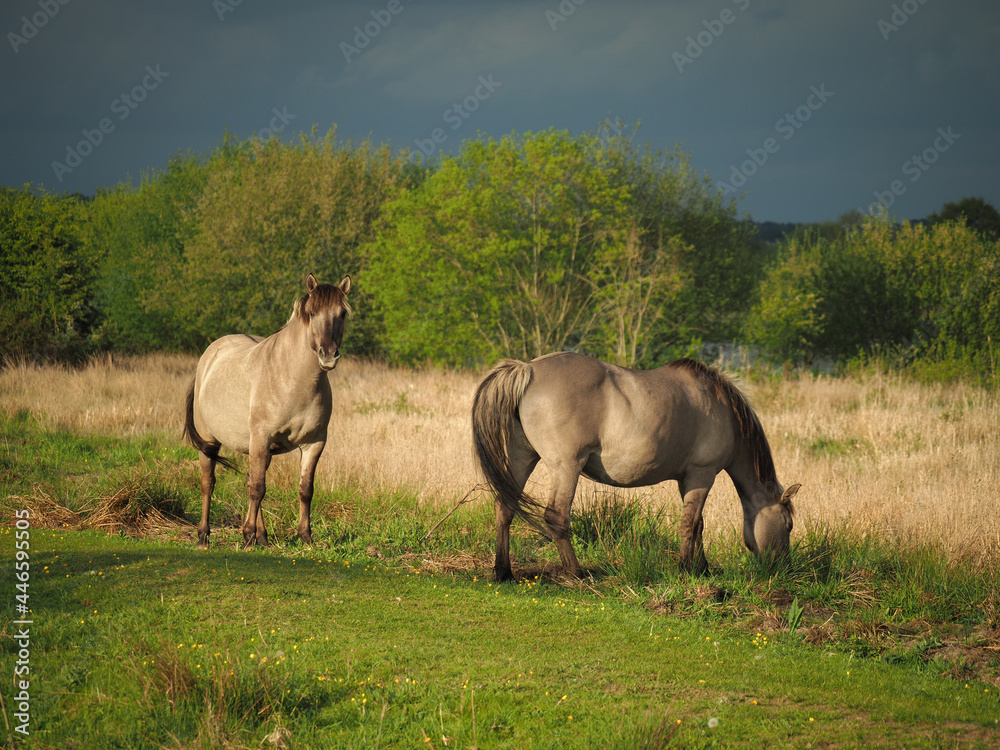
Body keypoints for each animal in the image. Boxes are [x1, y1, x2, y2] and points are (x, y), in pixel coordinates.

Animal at [184, 274, 352, 548]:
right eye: (312, 312)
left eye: (343, 314)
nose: (328, 356)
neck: (293, 378)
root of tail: (209, 356)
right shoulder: (261, 438)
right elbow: (257, 489)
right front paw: (247, 534)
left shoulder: (314, 443)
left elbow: (304, 489)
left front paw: (305, 535)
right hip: (210, 441)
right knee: (209, 483)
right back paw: (204, 536)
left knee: (251, 480)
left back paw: (261, 537)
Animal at [472, 352, 800, 580]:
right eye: (789, 525)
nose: (783, 569)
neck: (721, 408)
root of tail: (527, 369)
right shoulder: (702, 475)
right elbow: (691, 523)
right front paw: (687, 569)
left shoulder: (686, 479)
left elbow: (698, 525)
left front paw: (703, 568)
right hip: (565, 467)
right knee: (556, 516)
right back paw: (577, 573)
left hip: (522, 458)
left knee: (505, 507)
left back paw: (503, 571)